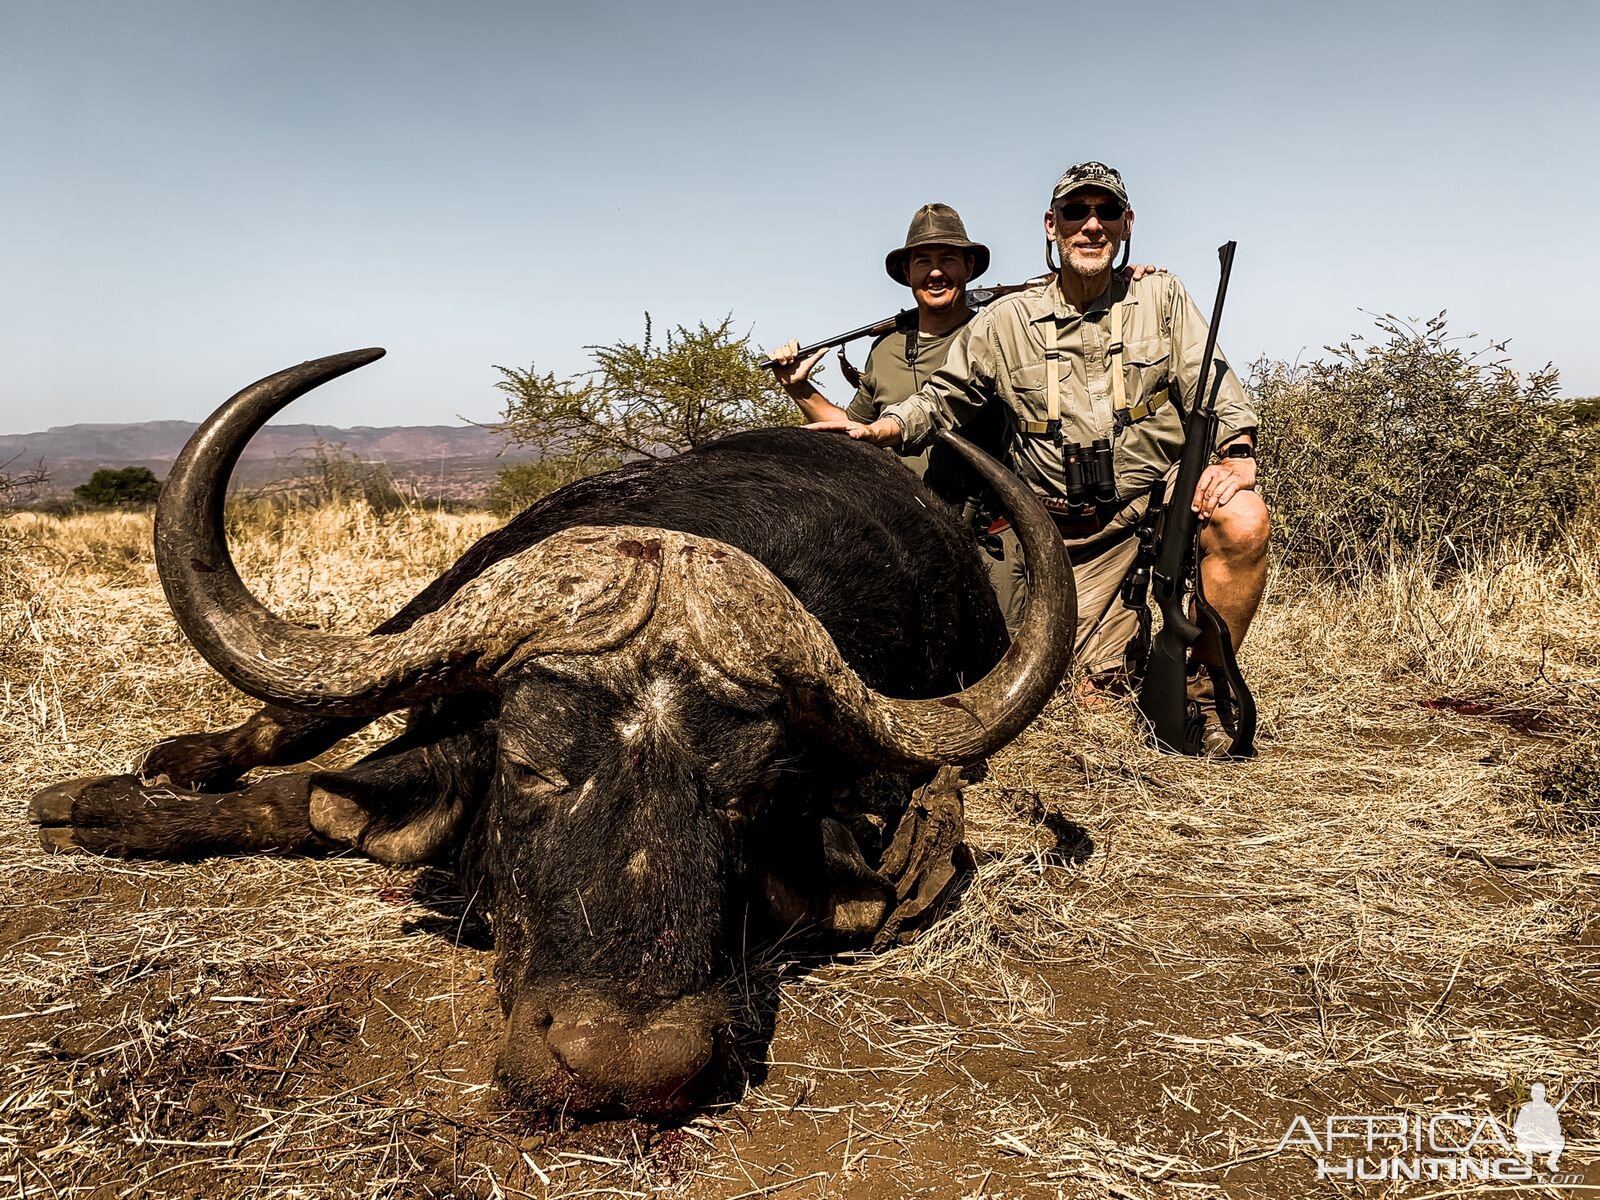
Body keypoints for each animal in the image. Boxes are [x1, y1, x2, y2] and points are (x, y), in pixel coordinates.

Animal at [31, 352, 1075, 1126]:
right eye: (530, 766)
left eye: (750, 795)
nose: (620, 1069)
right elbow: (309, 778)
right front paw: (97, 806)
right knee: (309, 701)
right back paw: (183, 759)